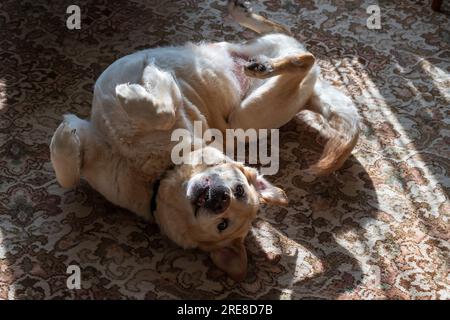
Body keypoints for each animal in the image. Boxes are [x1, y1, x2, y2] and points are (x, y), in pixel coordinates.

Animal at [48, 0, 358, 280]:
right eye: (240, 190)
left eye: (223, 224)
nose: (220, 199)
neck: (159, 174)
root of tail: (313, 93)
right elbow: (68, 177)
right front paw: (64, 137)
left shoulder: (174, 110)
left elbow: (161, 110)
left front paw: (136, 90)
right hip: (257, 55)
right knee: (291, 38)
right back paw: (248, 29)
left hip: (247, 116)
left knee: (306, 58)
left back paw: (266, 63)